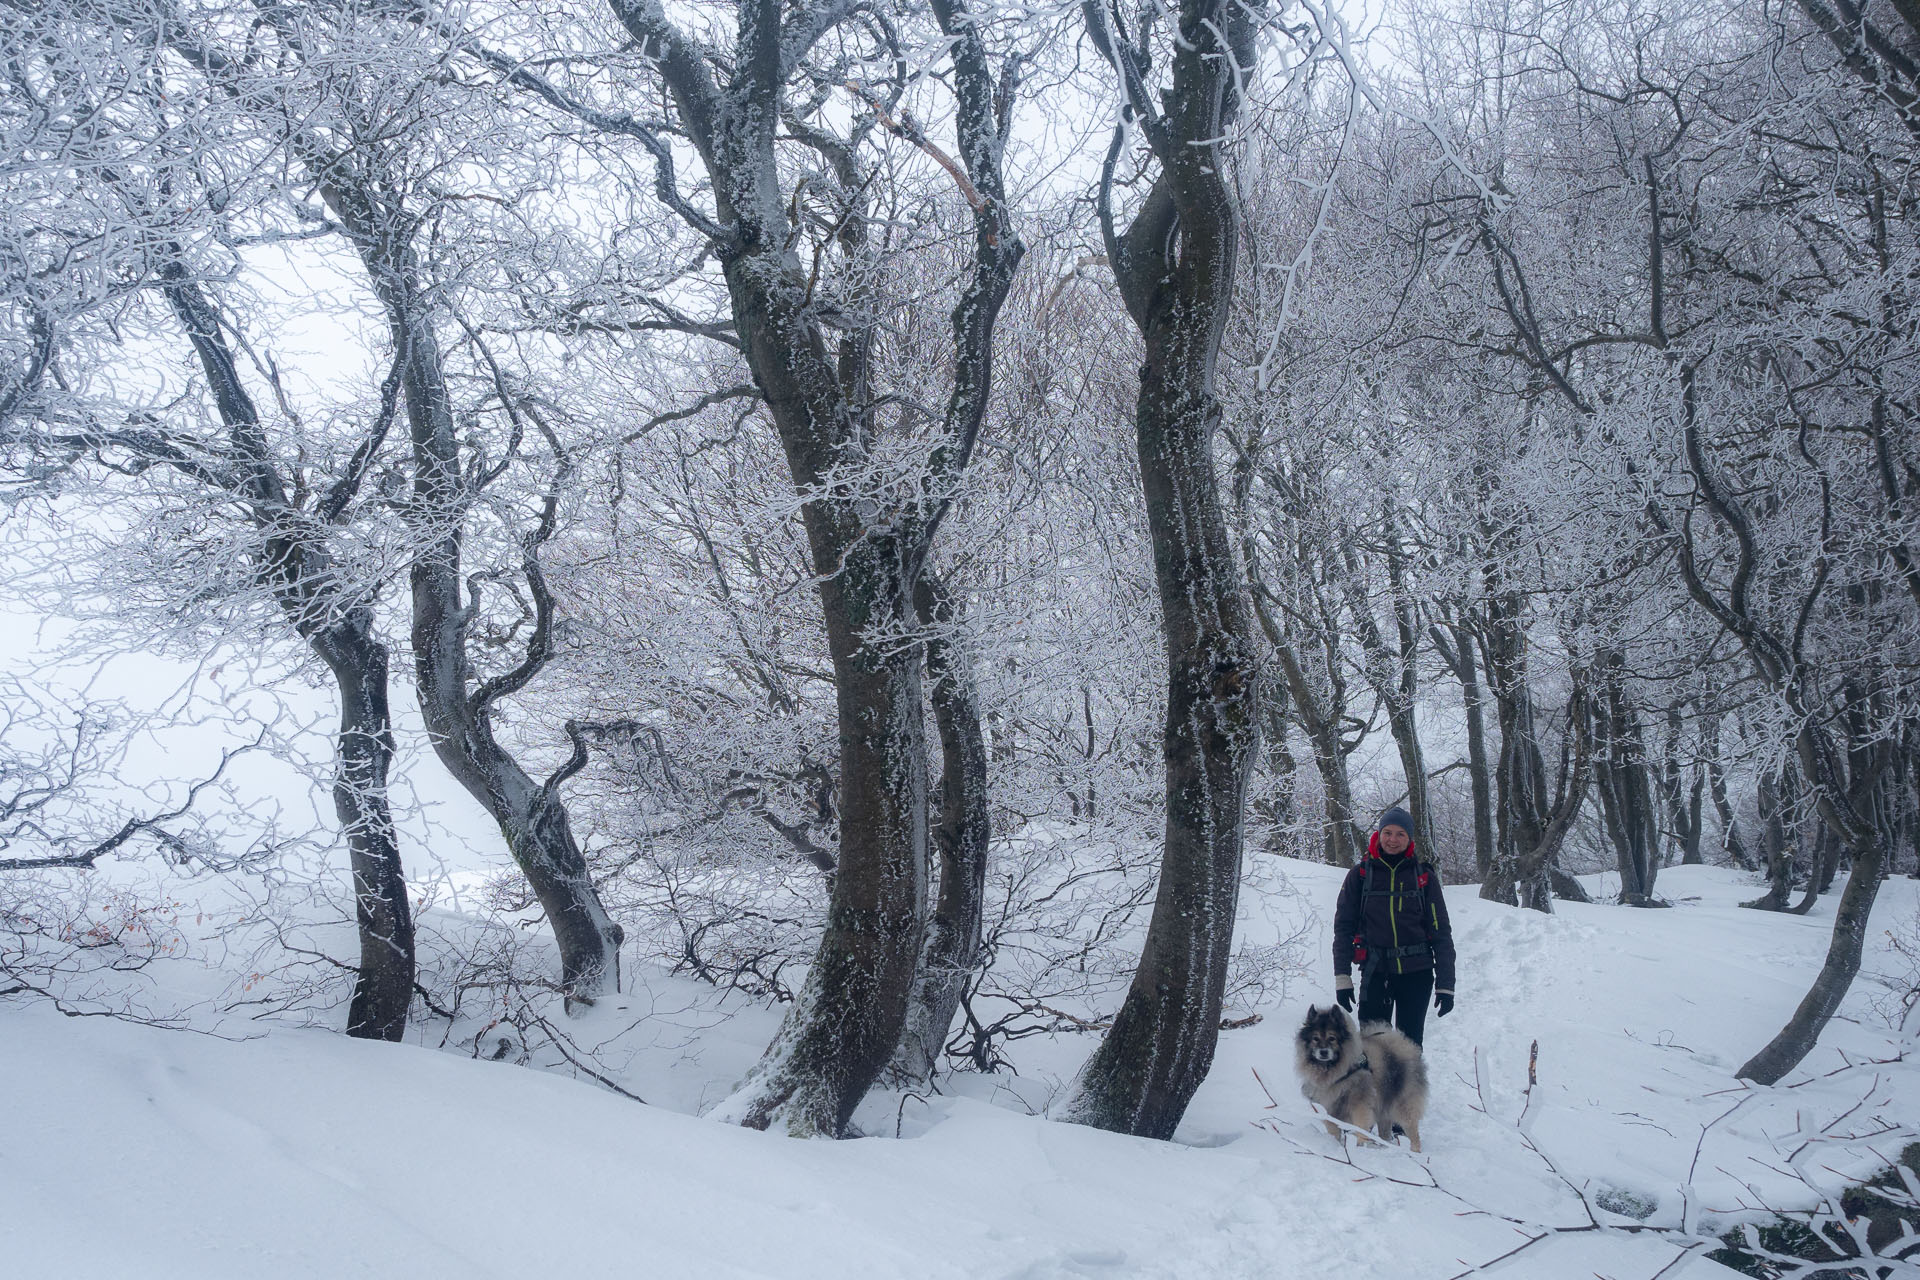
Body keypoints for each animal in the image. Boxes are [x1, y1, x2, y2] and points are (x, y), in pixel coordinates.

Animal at [1290, 1005, 1428, 1159]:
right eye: (1315, 1038)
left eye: (1332, 1038)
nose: (1323, 1052)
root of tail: (1402, 1043)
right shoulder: (1329, 1106)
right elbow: (1333, 1130)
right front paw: (1335, 1144)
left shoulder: (1360, 1105)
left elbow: (1361, 1126)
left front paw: (1360, 1146)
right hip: (1383, 1108)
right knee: (1385, 1131)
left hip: (1403, 1105)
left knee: (1412, 1131)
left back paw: (1415, 1153)